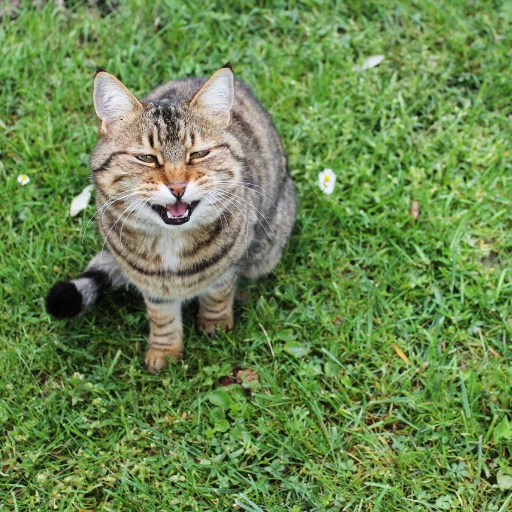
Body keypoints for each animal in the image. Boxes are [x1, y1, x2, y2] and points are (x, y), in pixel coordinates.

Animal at [47, 64, 298, 372]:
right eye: (146, 158)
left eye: (199, 154)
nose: (178, 187)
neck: (171, 241)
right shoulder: (150, 283)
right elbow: (162, 315)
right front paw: (164, 350)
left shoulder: (229, 265)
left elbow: (218, 292)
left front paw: (214, 322)